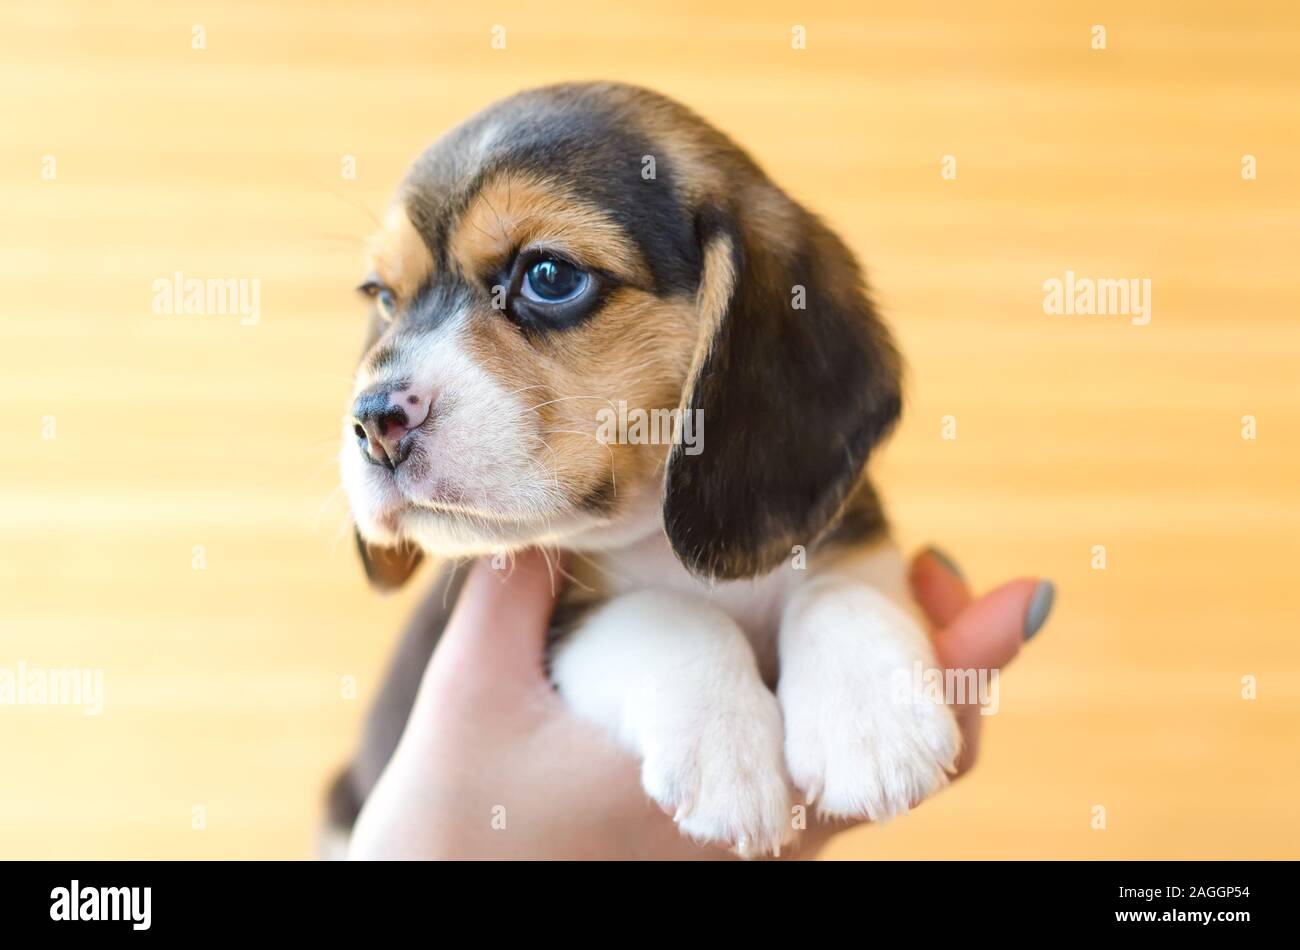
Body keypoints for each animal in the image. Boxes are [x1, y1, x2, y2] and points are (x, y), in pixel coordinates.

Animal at [335, 79, 956, 852]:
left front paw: (872, 722)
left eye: (550, 275)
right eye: (384, 297)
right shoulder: (565, 625)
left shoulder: (850, 535)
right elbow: (664, 612)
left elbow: (839, 586)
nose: (373, 420)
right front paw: (725, 753)